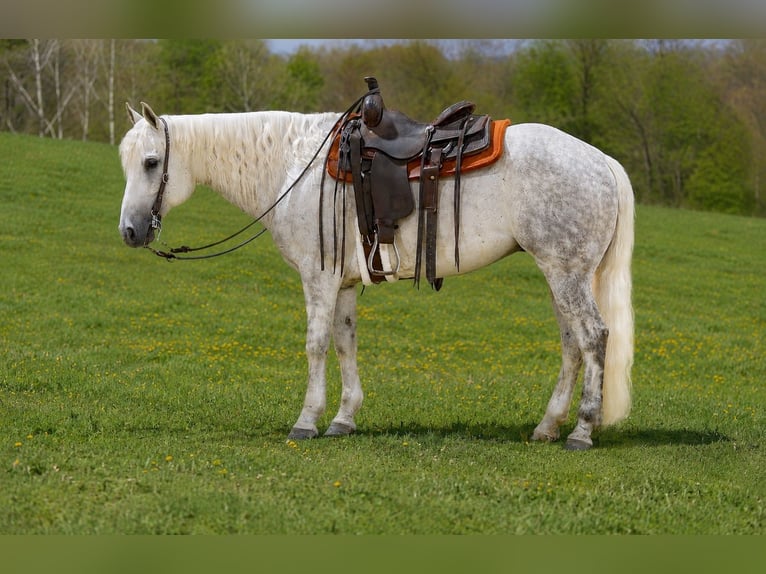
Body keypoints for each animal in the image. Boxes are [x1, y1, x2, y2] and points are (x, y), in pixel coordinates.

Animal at [118, 101, 634, 450]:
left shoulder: (319, 277)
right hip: (557, 274)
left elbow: (316, 344)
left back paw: (582, 430)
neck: (294, 167)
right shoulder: (344, 282)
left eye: (151, 162)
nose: (130, 231)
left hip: (567, 274)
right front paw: (343, 419)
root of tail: (602, 161)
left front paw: (306, 421)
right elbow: (345, 344)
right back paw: (547, 427)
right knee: (571, 343)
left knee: (594, 336)